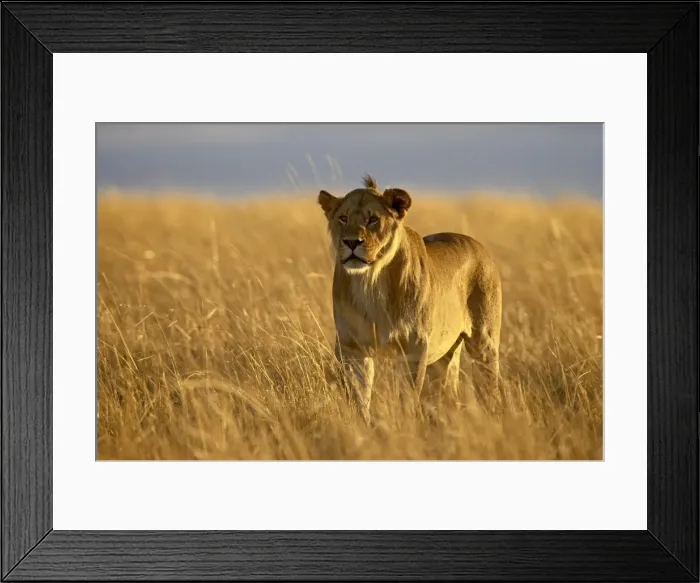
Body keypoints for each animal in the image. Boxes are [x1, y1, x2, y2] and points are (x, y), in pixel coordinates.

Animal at [318, 174, 502, 422]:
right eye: (343, 218)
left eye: (373, 219)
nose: (351, 242)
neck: (371, 282)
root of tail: (480, 246)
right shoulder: (351, 347)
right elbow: (359, 397)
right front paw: (362, 426)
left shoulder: (414, 347)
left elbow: (407, 398)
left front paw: (405, 425)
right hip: (442, 357)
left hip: (484, 343)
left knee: (489, 387)